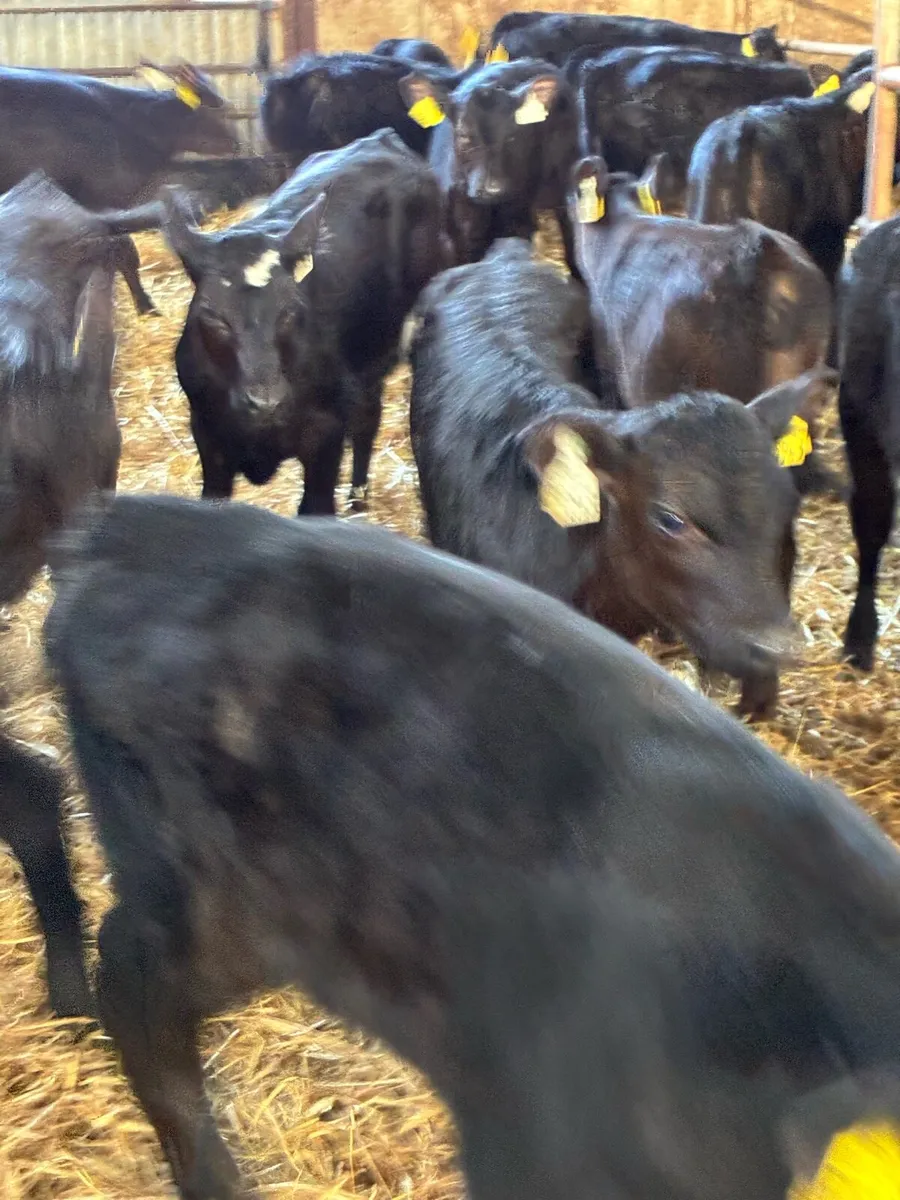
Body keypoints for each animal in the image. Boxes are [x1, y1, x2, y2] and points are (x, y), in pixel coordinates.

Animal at [163, 129, 446, 515]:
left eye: (290, 310)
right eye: (212, 315)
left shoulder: (325, 436)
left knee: (366, 420)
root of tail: (381, 137)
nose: (265, 402)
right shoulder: (208, 435)